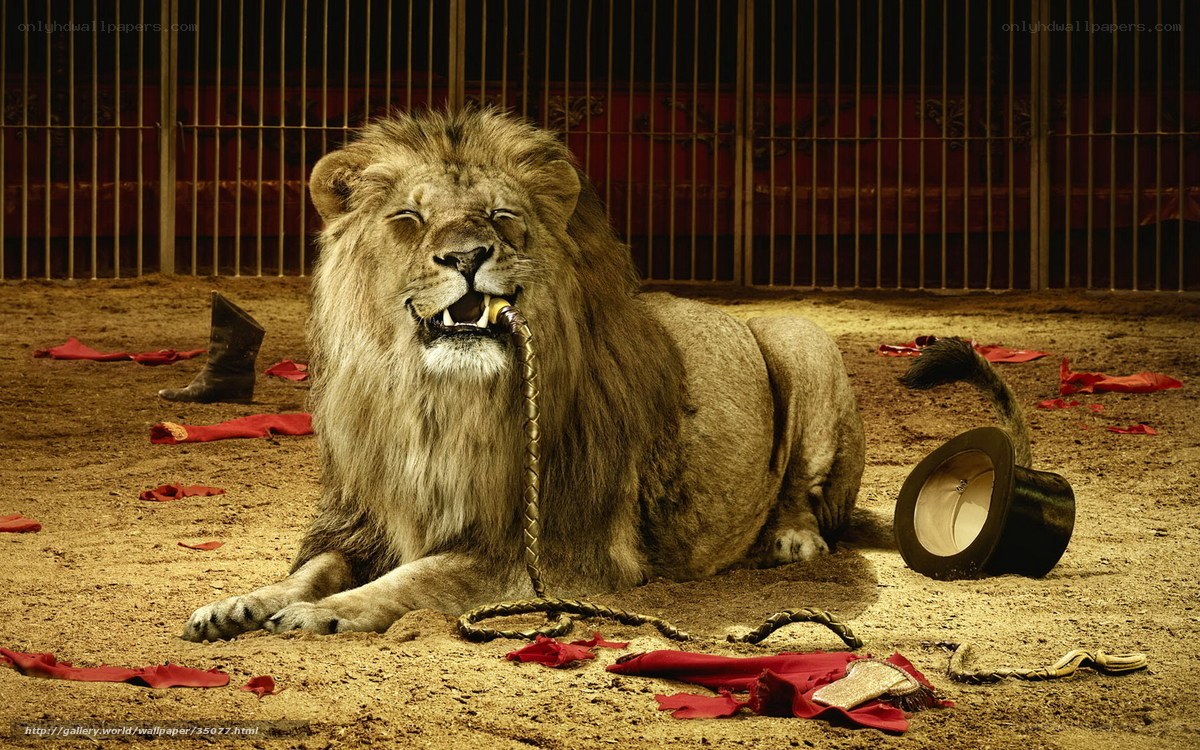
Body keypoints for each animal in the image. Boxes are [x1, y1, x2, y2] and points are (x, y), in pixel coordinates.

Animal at [182, 108, 864, 641]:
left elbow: (418, 578)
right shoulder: (363, 521)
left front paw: (325, 613)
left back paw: (792, 542)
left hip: (800, 338)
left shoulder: (554, 550)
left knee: (804, 489)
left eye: (501, 214)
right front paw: (240, 604)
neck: (436, 404)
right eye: (408, 218)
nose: (466, 256)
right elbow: (311, 570)